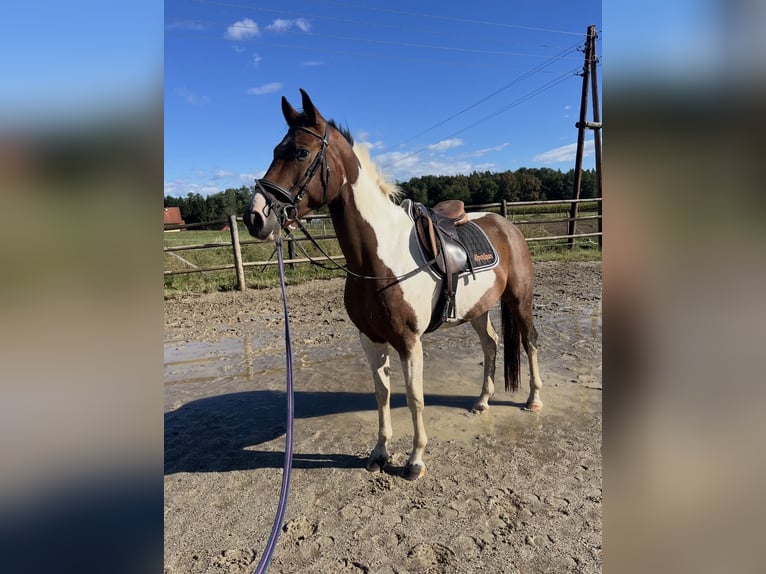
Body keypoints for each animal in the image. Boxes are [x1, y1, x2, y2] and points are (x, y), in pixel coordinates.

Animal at [243, 89, 543, 481]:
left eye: (300, 153)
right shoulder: (371, 340)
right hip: (478, 309)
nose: (254, 217)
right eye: (275, 151)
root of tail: (507, 226)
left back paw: (534, 400)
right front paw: (380, 453)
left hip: (519, 300)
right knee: (491, 346)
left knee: (528, 341)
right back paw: (481, 401)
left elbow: (415, 398)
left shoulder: (408, 342)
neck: (378, 258)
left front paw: (415, 460)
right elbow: (381, 394)